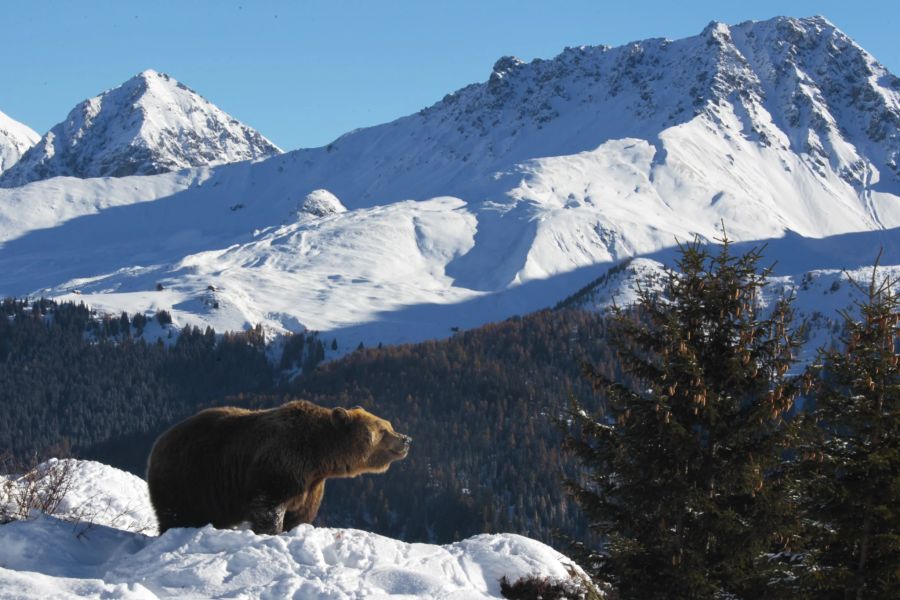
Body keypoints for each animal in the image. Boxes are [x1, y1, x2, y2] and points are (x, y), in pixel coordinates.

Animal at [147, 398, 412, 536]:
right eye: (383, 429)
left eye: (388, 424)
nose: (406, 439)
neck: (319, 456)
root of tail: (158, 442)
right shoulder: (280, 466)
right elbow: (268, 507)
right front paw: (271, 531)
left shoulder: (310, 485)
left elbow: (300, 514)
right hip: (189, 478)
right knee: (176, 514)